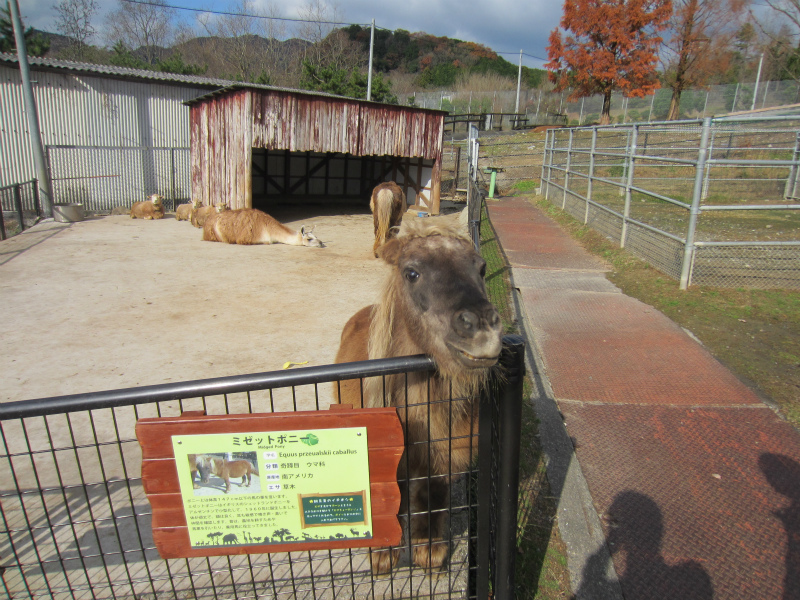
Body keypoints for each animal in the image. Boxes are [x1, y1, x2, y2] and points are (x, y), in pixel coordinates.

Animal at [332, 218, 500, 576]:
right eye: (412, 272)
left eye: (481, 268)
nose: (481, 326)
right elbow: (386, 501)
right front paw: (383, 554)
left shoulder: (440, 456)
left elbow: (431, 498)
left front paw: (430, 550)